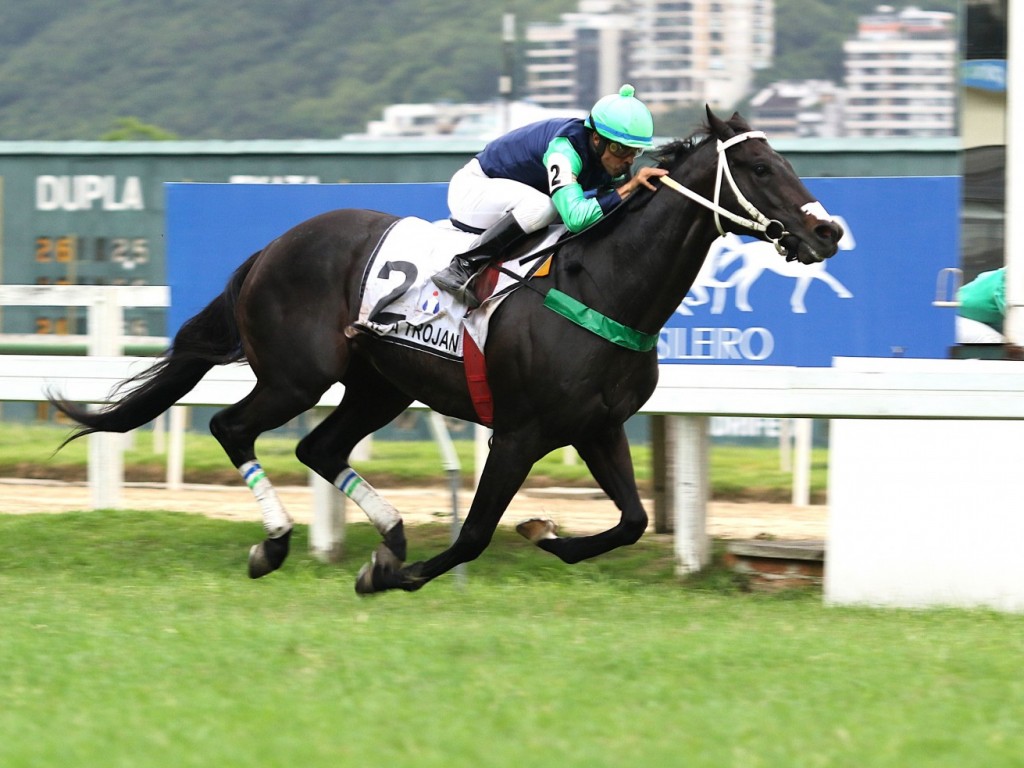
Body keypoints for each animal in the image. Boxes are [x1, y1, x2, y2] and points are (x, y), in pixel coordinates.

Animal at [49, 108, 839, 593]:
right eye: (762, 169)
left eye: (783, 161)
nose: (827, 231)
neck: (603, 284)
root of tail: (272, 246)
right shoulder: (519, 433)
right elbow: (475, 533)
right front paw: (390, 577)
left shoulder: (598, 427)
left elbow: (633, 521)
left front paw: (547, 534)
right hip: (297, 375)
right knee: (231, 426)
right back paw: (276, 543)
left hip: (381, 384)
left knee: (319, 448)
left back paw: (392, 533)